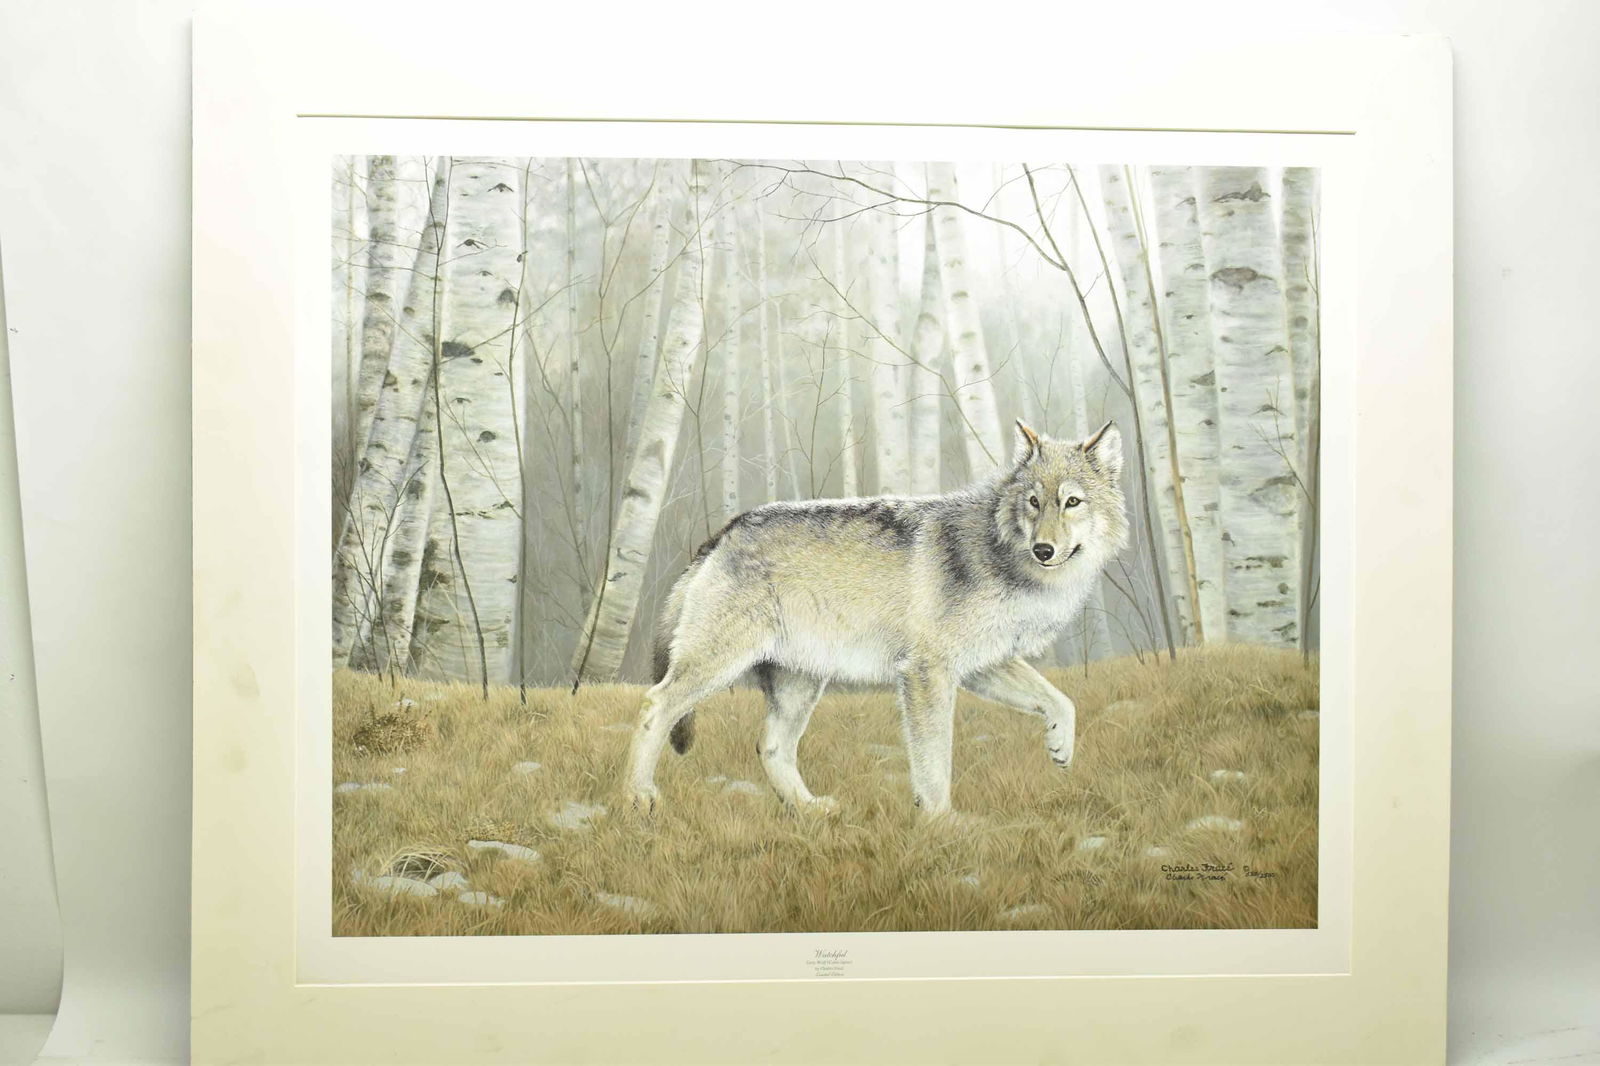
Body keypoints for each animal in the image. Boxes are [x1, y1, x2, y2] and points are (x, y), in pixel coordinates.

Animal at [624, 419, 1128, 816]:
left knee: (771, 749)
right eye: (1034, 502)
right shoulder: (927, 673)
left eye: (1072, 502)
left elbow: (1061, 701)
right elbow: (934, 763)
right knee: (653, 706)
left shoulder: (981, 666)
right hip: (719, 667)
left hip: (799, 688)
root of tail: (722, 533)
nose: (1043, 549)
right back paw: (638, 796)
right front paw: (943, 825)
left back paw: (808, 809)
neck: (1003, 557)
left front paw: (1061, 747)